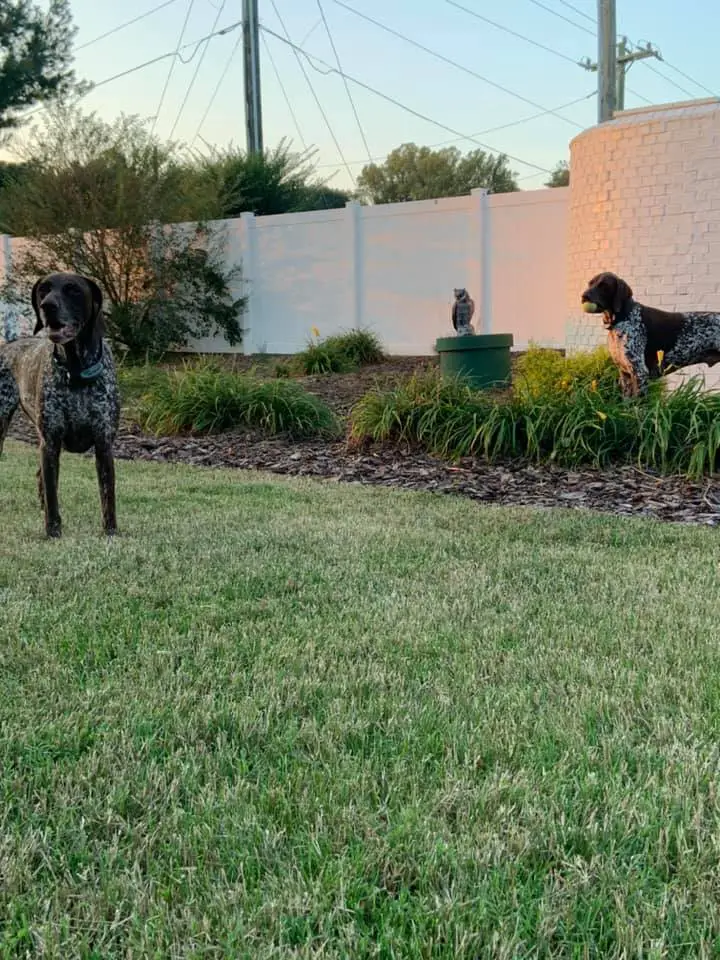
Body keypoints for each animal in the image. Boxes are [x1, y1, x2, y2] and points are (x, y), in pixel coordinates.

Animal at [0, 274, 119, 536]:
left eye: (73, 290)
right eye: (43, 290)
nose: (47, 306)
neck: (75, 372)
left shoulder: (103, 444)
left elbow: (108, 497)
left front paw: (111, 532)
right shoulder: (51, 443)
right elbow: (53, 495)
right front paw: (53, 531)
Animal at [584, 272, 720, 396]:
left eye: (604, 285)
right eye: (590, 283)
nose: (583, 296)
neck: (622, 318)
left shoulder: (640, 373)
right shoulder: (625, 374)